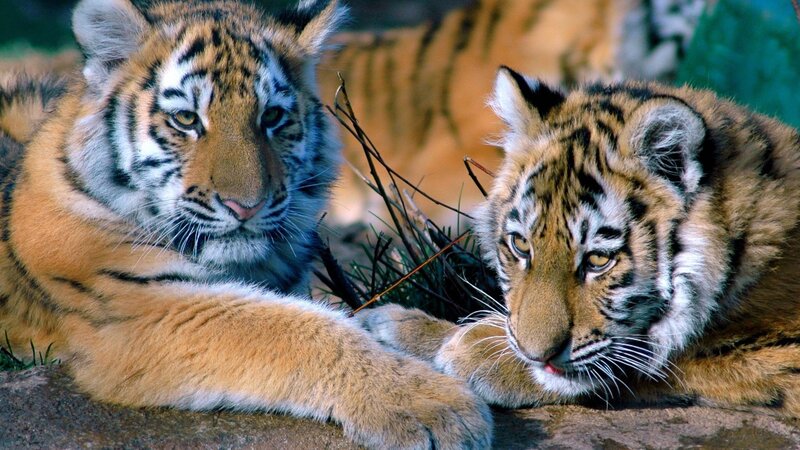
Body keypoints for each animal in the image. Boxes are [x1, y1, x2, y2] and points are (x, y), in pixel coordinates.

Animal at [0, 1, 492, 448]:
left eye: (272, 117)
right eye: (186, 119)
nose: (246, 207)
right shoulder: (140, 307)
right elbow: (295, 327)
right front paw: (435, 405)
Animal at [360, 66, 800, 415]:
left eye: (598, 260)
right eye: (521, 246)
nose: (536, 354)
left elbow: (662, 358)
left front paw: (473, 349)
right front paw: (395, 325)